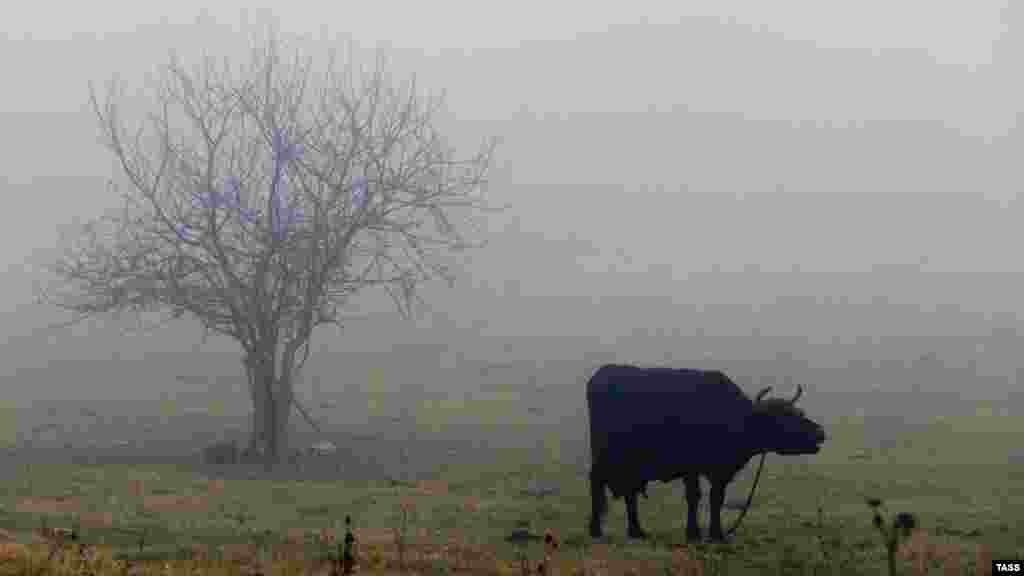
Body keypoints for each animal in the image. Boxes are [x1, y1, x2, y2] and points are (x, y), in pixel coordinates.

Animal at [585, 362, 823, 537]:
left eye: (799, 412)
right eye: (787, 416)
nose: (820, 432)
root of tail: (601, 374)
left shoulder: (719, 472)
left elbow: (716, 498)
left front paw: (716, 533)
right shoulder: (691, 467)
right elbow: (694, 496)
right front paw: (694, 533)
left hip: (630, 464)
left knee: (629, 493)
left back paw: (636, 531)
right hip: (606, 456)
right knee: (597, 482)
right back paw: (596, 530)